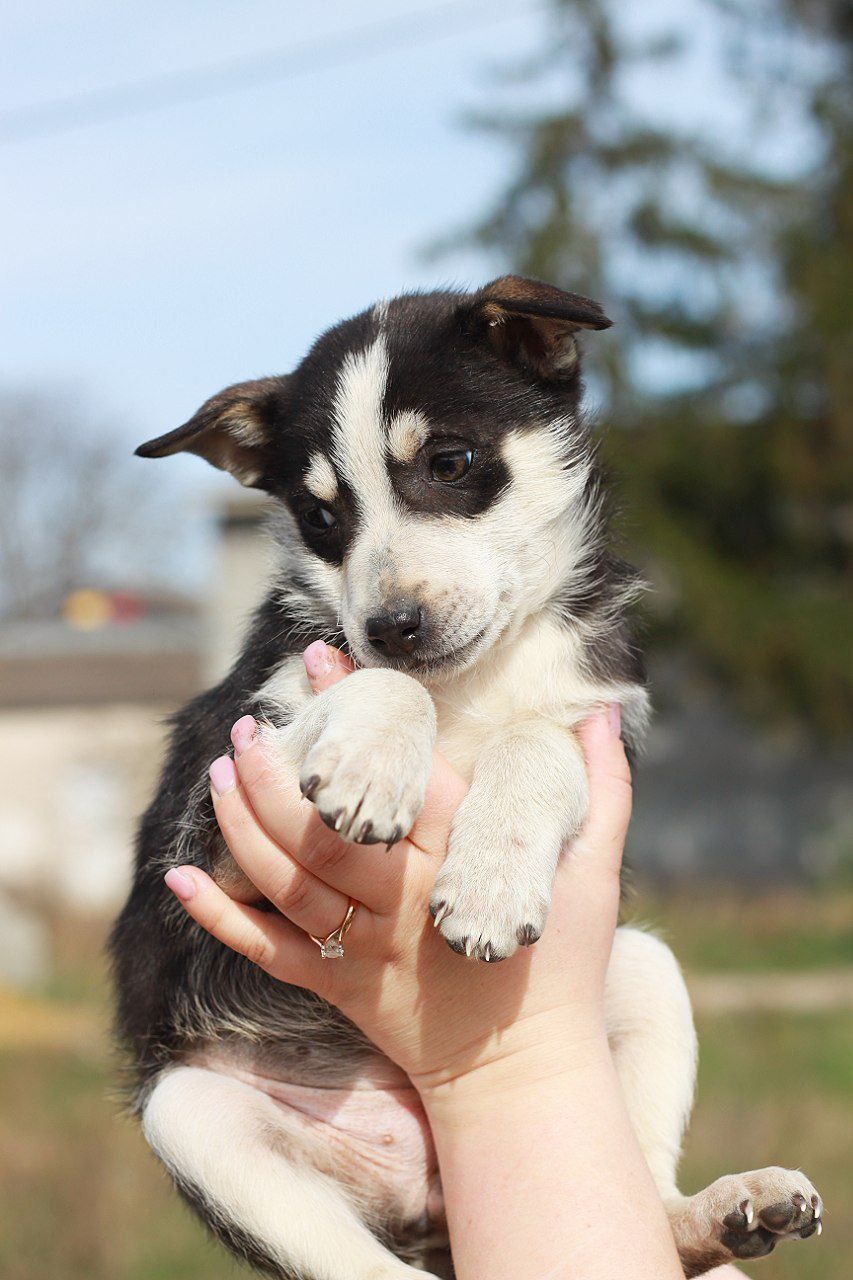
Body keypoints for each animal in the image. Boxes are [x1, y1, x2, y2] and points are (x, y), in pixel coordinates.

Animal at [109, 280, 819, 1280]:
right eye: (320, 519)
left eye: (449, 462)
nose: (390, 626)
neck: (474, 686)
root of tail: (425, 1200)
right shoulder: (223, 796)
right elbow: (379, 687)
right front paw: (372, 758)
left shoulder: (600, 732)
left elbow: (536, 740)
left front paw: (488, 879)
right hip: (192, 1112)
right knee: (367, 1269)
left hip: (642, 966)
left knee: (644, 1193)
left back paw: (726, 1211)